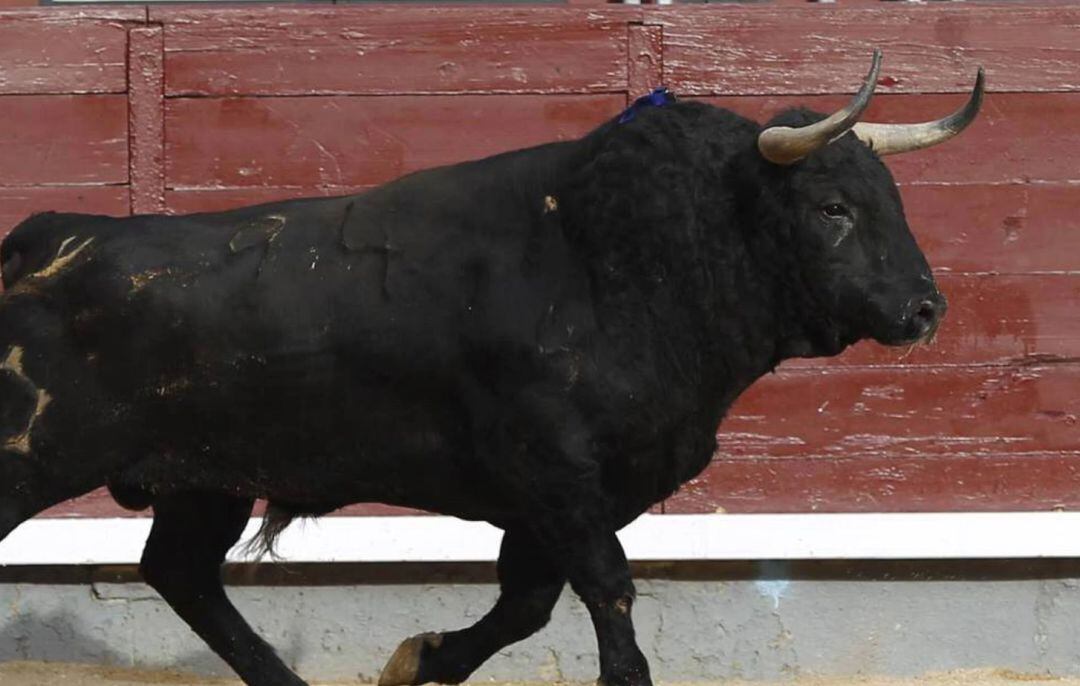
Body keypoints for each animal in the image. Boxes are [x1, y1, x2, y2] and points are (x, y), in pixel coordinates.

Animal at [0, 55, 980, 686]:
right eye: (832, 208)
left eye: (891, 200)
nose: (924, 310)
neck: (618, 263)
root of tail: (40, 238)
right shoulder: (556, 477)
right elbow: (606, 589)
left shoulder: (563, 498)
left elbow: (530, 604)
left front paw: (418, 661)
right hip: (35, 458)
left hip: (205, 481)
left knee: (182, 573)